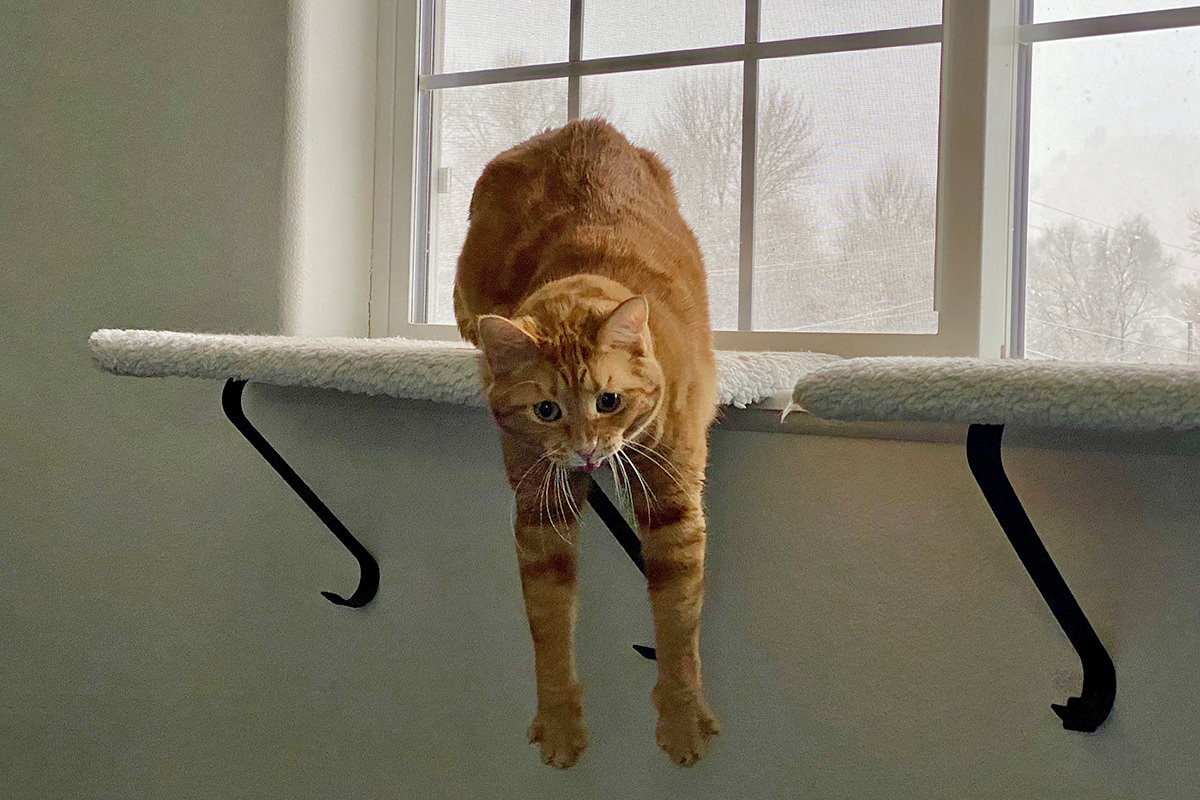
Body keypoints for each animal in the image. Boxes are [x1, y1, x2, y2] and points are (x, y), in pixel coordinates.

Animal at [456, 118, 720, 767]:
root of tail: (583, 125)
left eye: (609, 400)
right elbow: (549, 627)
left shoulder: (674, 506)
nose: (585, 451)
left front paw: (681, 717)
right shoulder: (540, 511)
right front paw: (560, 722)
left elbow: (678, 622)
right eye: (546, 410)